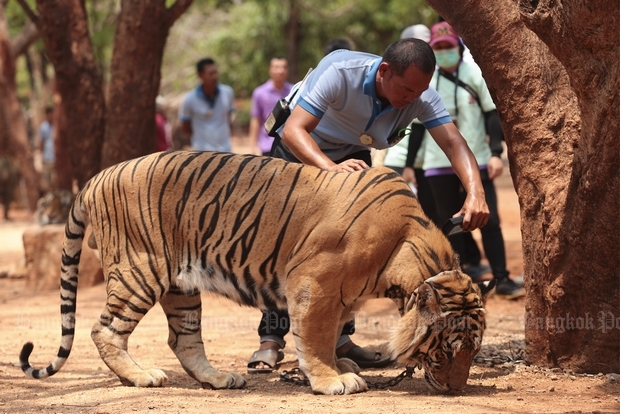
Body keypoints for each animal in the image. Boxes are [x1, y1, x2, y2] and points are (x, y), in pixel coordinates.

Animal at [20, 151, 494, 394]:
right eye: (447, 349)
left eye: (475, 351)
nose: (457, 391)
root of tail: (96, 177)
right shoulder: (314, 283)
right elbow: (314, 335)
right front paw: (331, 380)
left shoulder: (340, 295)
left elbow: (331, 333)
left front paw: (339, 366)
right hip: (141, 270)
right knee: (105, 330)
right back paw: (140, 376)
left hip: (181, 284)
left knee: (183, 339)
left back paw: (219, 379)